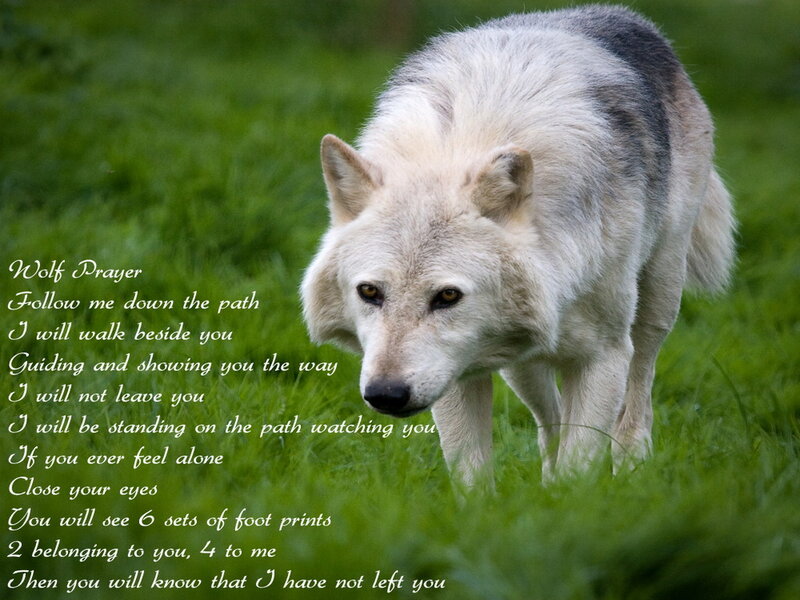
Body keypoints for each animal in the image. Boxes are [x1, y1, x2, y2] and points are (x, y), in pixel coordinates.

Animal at [301, 5, 734, 484]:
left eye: (447, 296)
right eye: (369, 292)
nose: (386, 394)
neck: (467, 146)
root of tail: (621, 16)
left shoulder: (604, 357)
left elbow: (580, 469)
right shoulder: (457, 374)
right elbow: (474, 477)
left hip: (656, 302)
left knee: (634, 405)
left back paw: (632, 471)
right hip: (520, 362)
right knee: (551, 423)